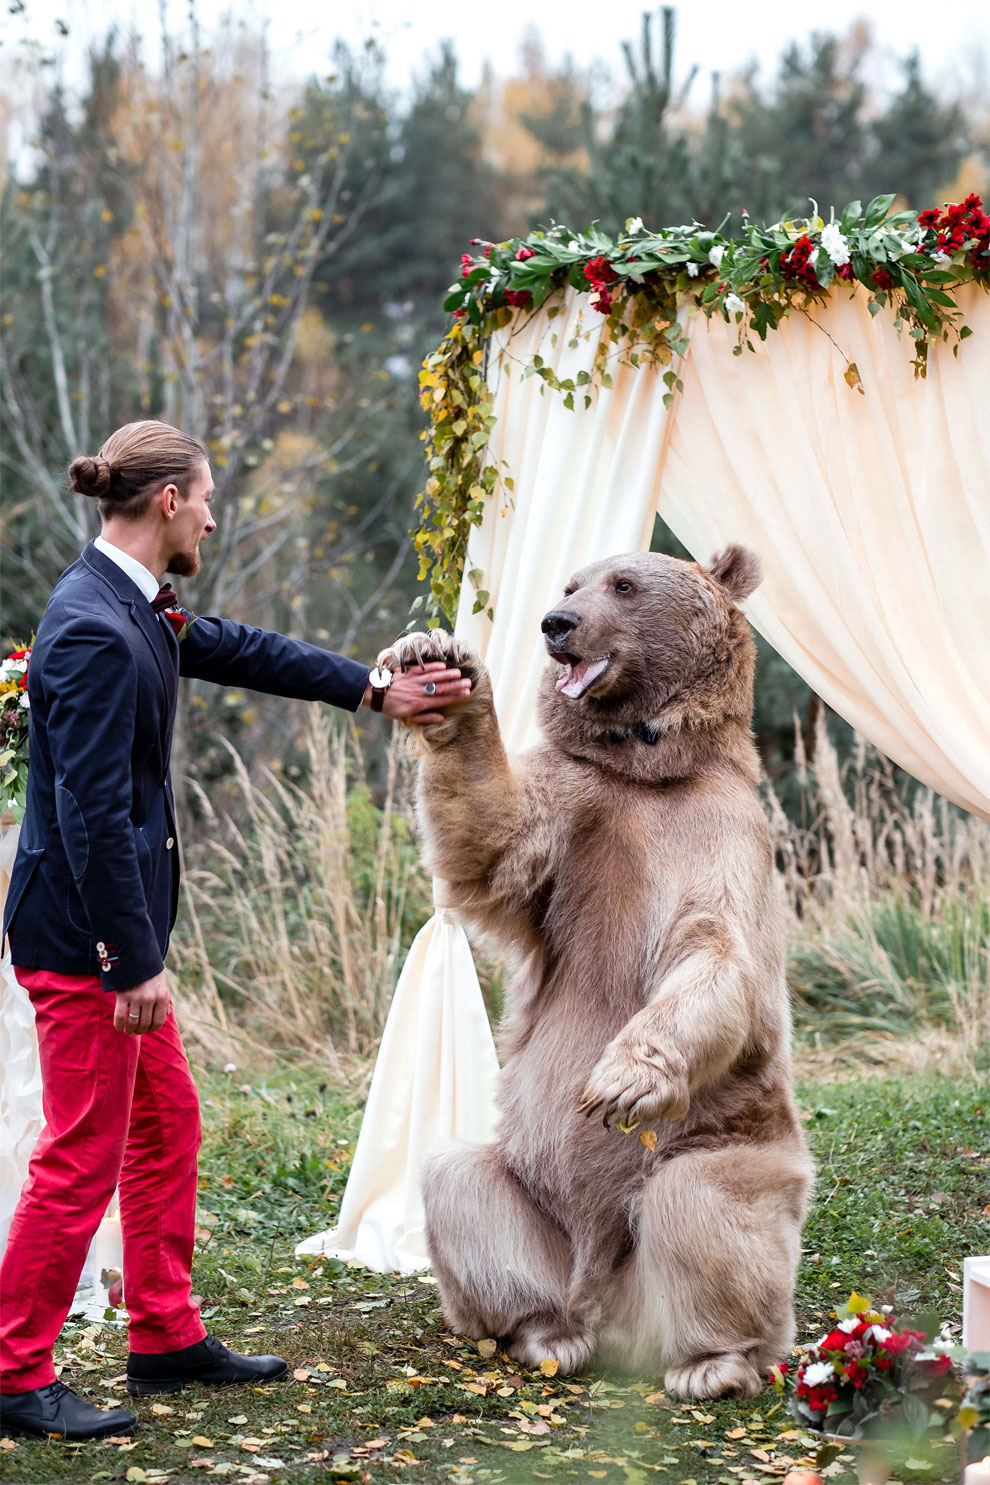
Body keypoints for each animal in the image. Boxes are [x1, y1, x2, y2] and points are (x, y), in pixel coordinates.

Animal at [379, 549, 813, 1401]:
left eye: (624, 584)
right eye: (571, 582)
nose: (557, 624)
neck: (648, 771)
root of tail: (610, 1309)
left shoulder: (720, 834)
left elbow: (715, 952)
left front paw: (620, 1078)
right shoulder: (575, 814)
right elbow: (492, 840)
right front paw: (438, 664)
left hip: (731, 1146)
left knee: (706, 1205)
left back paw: (713, 1362)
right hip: (528, 1188)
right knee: (458, 1181)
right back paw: (544, 1333)